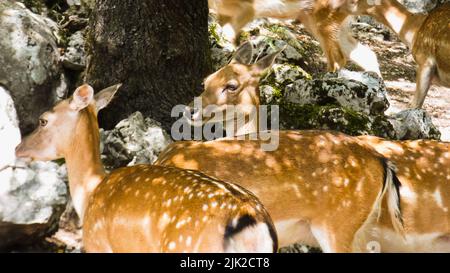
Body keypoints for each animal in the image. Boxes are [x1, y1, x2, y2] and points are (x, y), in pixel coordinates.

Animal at [14, 83, 278, 253]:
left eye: (43, 120)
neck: (91, 190)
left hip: (181, 245)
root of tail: (250, 220)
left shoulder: (99, 245)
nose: (18, 147)